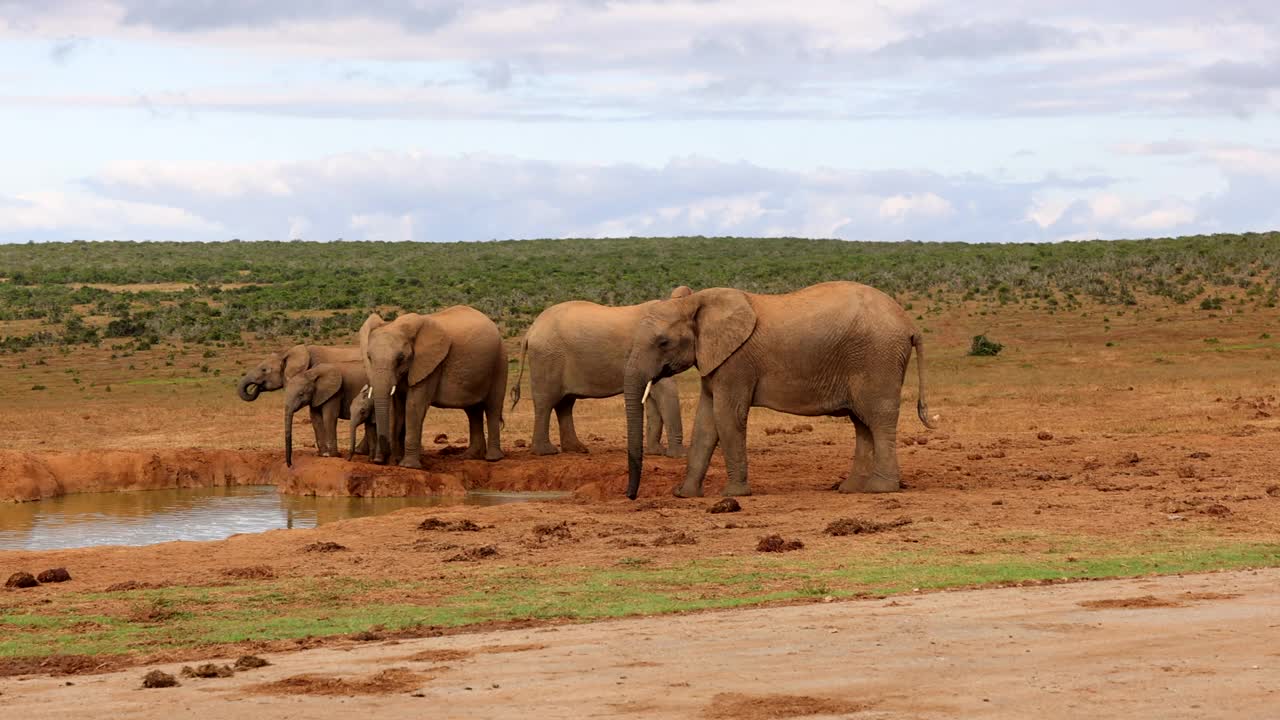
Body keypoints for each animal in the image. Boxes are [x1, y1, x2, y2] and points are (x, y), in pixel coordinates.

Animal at [360, 304, 509, 468]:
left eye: (400, 358)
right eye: (369, 357)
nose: (378, 461)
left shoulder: (431, 365)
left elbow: (413, 406)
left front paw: (408, 465)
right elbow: (396, 409)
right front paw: (396, 462)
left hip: (500, 361)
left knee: (492, 407)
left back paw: (493, 458)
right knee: (473, 411)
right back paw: (469, 457)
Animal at [509, 284, 696, 453]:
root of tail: (531, 330)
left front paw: (656, 452)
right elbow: (663, 391)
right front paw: (677, 455)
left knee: (565, 403)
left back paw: (577, 449)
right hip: (547, 357)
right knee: (546, 402)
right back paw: (546, 451)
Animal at [622, 280, 936, 499]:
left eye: (663, 342)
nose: (631, 496)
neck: (696, 301)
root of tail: (910, 324)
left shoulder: (737, 362)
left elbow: (727, 417)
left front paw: (733, 495)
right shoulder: (714, 360)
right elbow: (706, 423)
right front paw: (685, 495)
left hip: (878, 358)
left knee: (878, 418)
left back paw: (879, 489)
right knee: (862, 422)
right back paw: (851, 488)